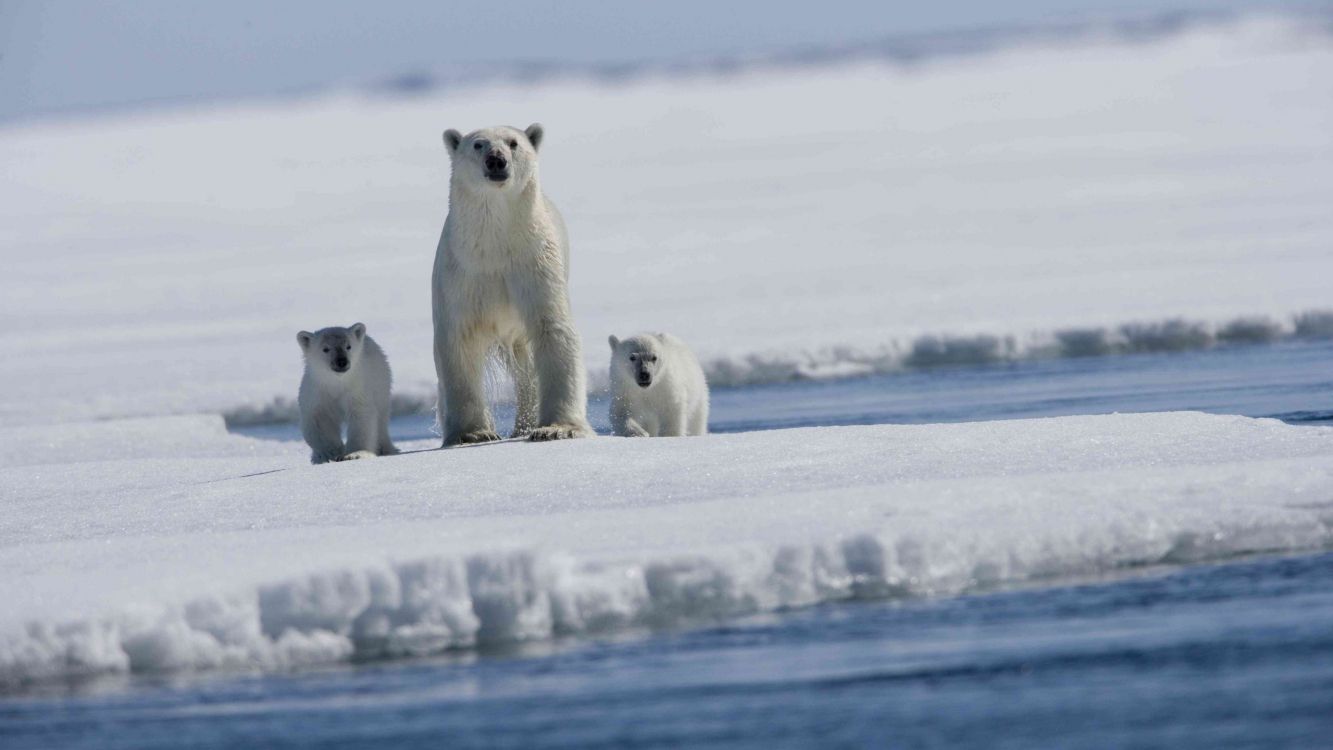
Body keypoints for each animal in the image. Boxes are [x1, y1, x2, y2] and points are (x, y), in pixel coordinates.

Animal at [431, 120, 594, 442]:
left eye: (513, 143)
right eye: (478, 144)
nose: (496, 160)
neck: (495, 245)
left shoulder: (534, 263)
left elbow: (553, 330)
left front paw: (557, 428)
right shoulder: (461, 274)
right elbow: (458, 340)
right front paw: (473, 433)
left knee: (527, 370)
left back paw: (525, 425)